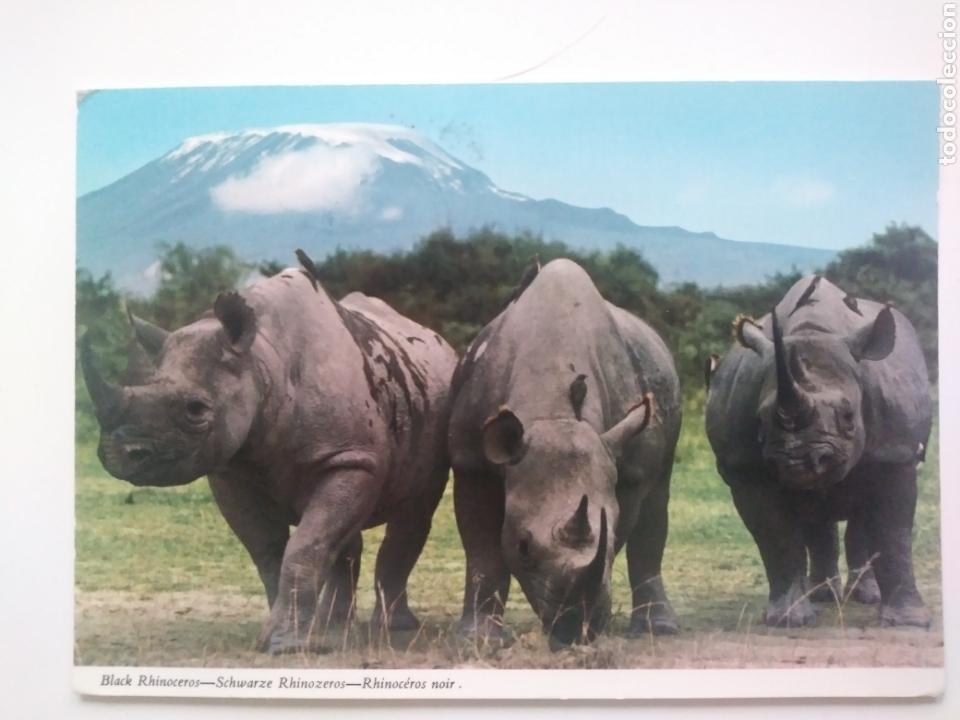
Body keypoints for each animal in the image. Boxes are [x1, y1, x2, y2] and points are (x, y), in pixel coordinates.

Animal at [81, 259, 458, 653]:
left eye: (196, 409)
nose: (120, 454)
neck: (262, 360)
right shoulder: (230, 471)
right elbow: (269, 550)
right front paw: (290, 635)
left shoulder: (350, 458)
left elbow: (305, 545)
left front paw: (284, 643)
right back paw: (332, 627)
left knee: (414, 510)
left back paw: (395, 629)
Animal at [448, 259, 682, 648]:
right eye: (523, 547)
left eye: (611, 540)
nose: (575, 629)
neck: (553, 415)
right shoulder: (471, 461)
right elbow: (483, 552)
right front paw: (478, 640)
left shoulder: (624, 468)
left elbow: (620, 531)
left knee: (658, 493)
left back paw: (658, 629)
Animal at [705, 275, 932, 628]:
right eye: (760, 421)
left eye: (849, 417)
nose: (799, 460)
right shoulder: (745, 470)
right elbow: (776, 538)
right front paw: (788, 619)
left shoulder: (896, 453)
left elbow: (893, 532)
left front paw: (908, 622)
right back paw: (823, 595)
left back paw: (862, 596)